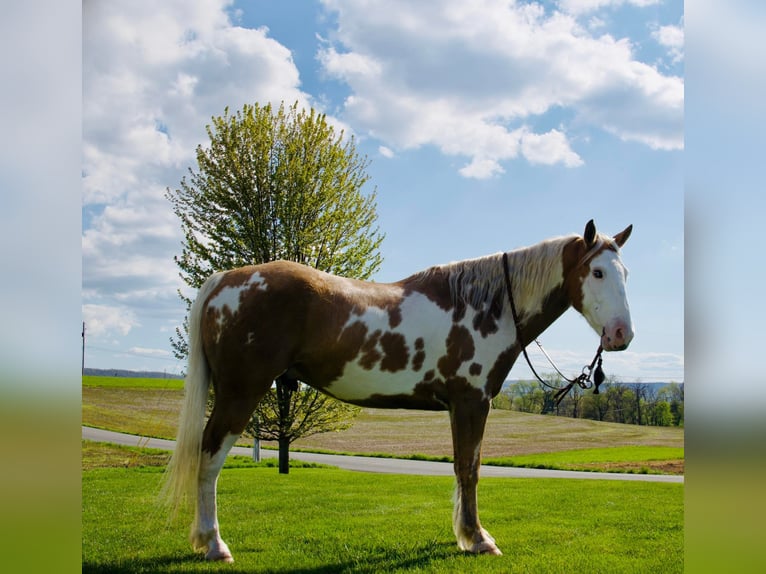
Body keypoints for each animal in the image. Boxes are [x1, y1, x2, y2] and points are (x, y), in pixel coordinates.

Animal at [162, 220, 636, 564]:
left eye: (626, 274)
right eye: (596, 272)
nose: (621, 335)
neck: (485, 305)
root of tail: (225, 280)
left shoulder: (458, 406)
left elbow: (461, 469)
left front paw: (464, 535)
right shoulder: (472, 402)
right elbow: (470, 469)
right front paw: (479, 539)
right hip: (241, 393)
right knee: (209, 459)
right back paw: (214, 545)